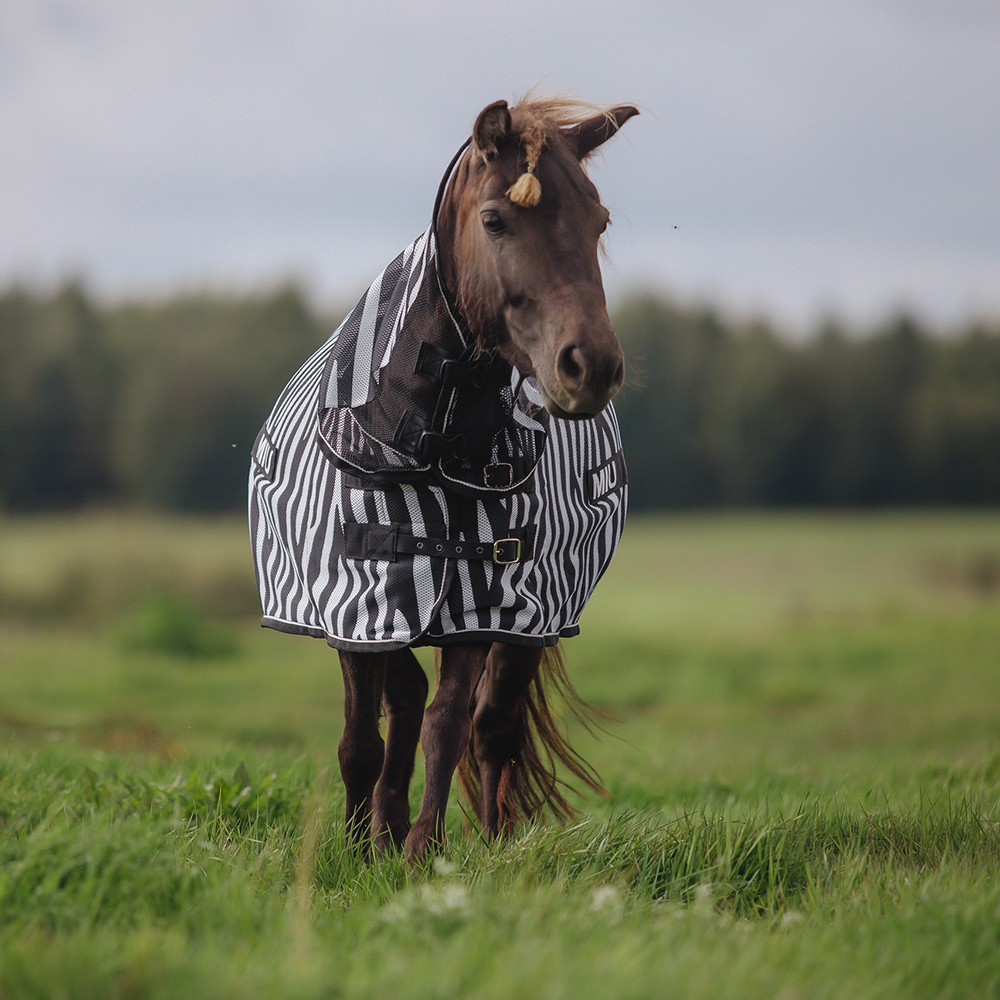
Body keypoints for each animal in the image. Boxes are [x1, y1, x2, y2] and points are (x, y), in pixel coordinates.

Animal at [249, 96, 637, 863]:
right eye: (495, 219)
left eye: (599, 221)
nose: (592, 366)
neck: (431, 442)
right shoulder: (357, 606)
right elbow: (364, 737)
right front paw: (362, 845)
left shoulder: (484, 598)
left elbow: (449, 723)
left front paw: (423, 847)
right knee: (406, 708)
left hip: (531, 622)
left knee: (492, 729)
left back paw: (487, 840)